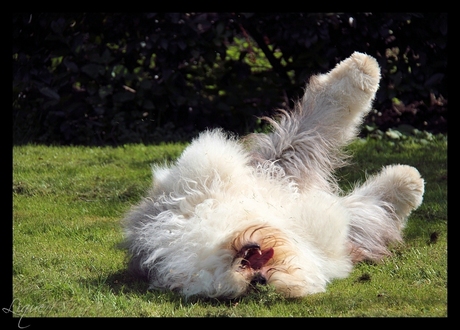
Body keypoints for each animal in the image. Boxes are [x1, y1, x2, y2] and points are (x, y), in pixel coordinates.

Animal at [121, 51, 424, 300]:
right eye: (247, 289)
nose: (258, 279)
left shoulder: (275, 167)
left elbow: (320, 118)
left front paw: (361, 68)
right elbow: (370, 210)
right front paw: (409, 183)